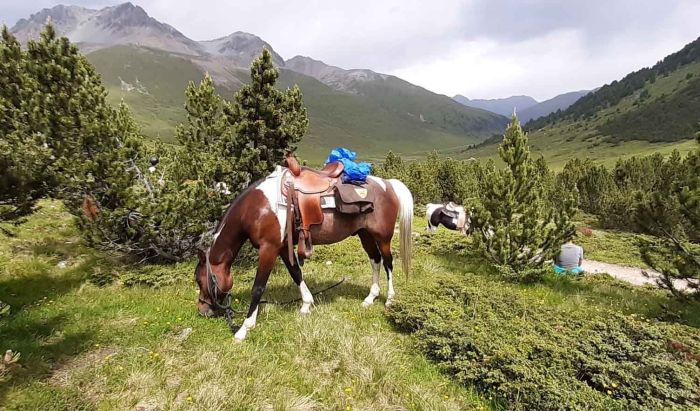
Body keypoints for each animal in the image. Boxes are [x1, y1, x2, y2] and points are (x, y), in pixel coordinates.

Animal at [193, 163, 410, 342]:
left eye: (200, 280)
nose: (202, 310)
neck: (256, 208)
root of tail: (388, 184)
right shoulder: (282, 247)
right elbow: (296, 273)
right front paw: (306, 304)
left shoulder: (268, 249)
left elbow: (258, 288)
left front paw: (244, 329)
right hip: (365, 234)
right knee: (375, 260)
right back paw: (370, 297)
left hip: (383, 237)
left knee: (388, 262)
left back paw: (389, 299)